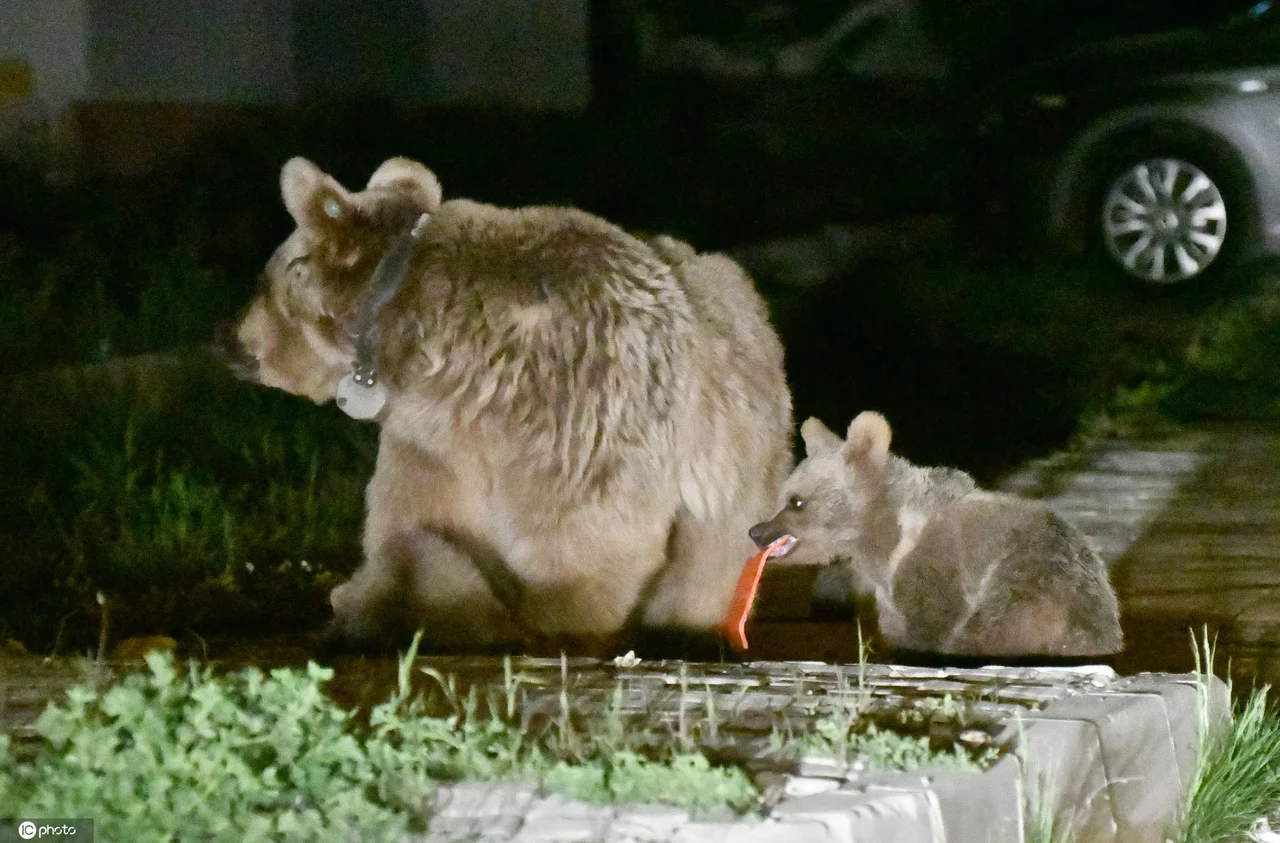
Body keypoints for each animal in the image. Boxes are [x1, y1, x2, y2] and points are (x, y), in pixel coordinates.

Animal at [748, 411, 1123, 657]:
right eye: (784, 496)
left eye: (796, 501)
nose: (756, 531)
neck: (885, 541)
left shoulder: (935, 570)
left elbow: (931, 626)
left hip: (1029, 586)